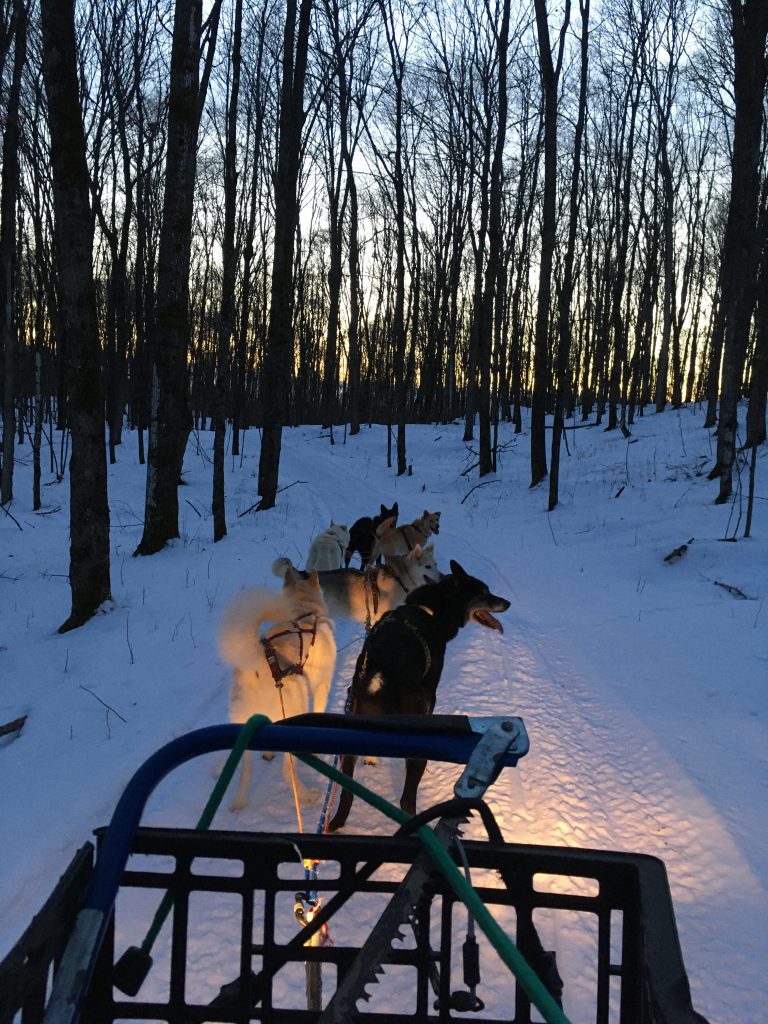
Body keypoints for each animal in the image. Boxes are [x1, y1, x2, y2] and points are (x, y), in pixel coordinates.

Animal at [217, 569, 335, 806]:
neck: (304, 611)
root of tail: (255, 668)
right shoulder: (321, 687)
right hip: (298, 698)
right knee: (287, 772)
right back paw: (307, 796)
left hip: (245, 727)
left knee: (246, 772)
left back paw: (238, 803)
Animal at [325, 561, 512, 831]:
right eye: (483, 593)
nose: (507, 603)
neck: (429, 610)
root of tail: (380, 673)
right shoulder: (430, 695)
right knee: (406, 799)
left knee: (347, 792)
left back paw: (337, 822)